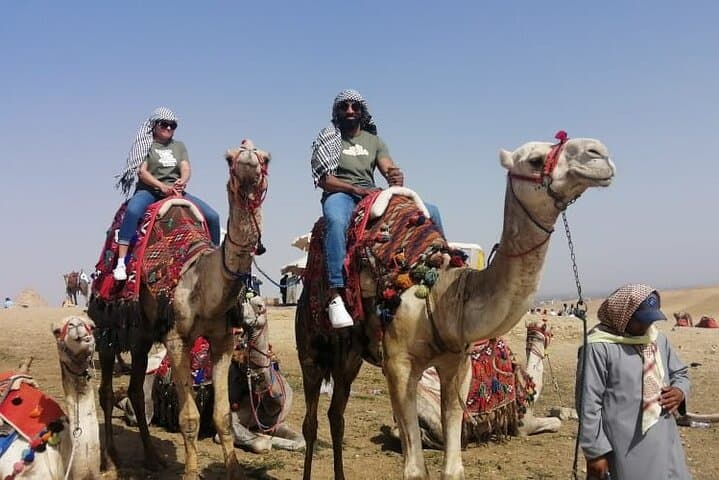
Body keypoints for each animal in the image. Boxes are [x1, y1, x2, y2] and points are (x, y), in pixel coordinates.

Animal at [90, 139, 270, 480]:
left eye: (266, 157)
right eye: (230, 158)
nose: (248, 161)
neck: (201, 279)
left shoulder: (223, 340)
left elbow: (223, 416)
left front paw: (234, 471)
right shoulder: (176, 339)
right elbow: (189, 418)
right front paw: (189, 471)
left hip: (142, 335)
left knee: (135, 390)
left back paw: (152, 458)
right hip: (106, 325)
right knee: (106, 390)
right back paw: (110, 461)